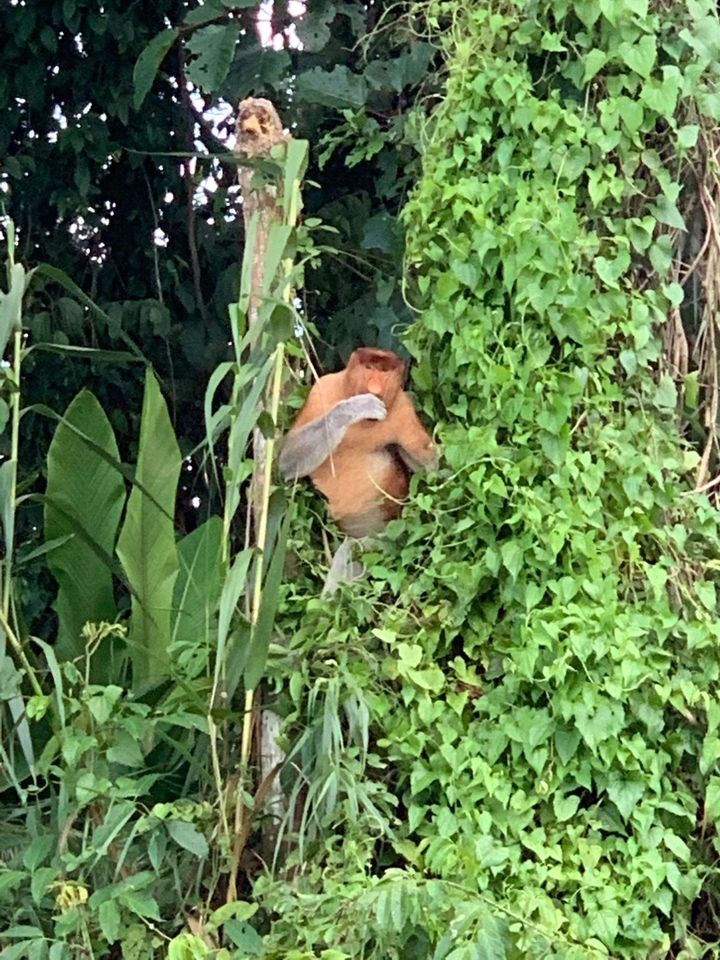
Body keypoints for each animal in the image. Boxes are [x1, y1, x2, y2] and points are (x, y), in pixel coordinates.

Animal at [279, 348, 438, 538]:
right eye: (369, 368)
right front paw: (357, 407)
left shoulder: (404, 407)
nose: (374, 387)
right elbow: (289, 459)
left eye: (384, 371)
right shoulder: (321, 390)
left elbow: (429, 467)